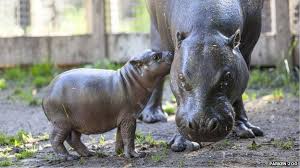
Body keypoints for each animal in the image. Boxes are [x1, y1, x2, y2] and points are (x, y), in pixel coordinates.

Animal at [42, 50, 173, 160]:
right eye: (155, 56)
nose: (171, 52)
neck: (131, 78)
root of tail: (47, 92)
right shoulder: (129, 117)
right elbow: (129, 136)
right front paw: (136, 155)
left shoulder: (123, 118)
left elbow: (120, 136)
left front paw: (119, 152)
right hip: (61, 122)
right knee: (55, 139)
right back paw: (68, 157)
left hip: (75, 122)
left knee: (73, 139)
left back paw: (90, 153)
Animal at [142, 0, 264, 152]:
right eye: (181, 78)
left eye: (227, 77)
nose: (202, 125)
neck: (205, 28)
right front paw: (183, 144)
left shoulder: (247, 48)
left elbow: (239, 93)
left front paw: (246, 130)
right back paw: (153, 116)